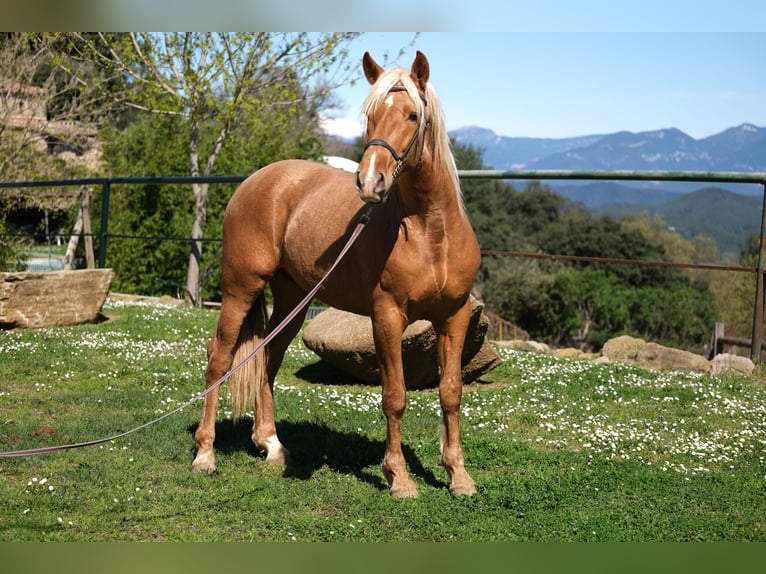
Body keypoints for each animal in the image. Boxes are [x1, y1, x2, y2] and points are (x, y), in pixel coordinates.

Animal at [192, 51, 481, 498]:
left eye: (413, 115)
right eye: (370, 116)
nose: (370, 181)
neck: (431, 233)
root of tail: (256, 180)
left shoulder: (455, 315)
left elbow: (451, 392)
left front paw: (458, 476)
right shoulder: (387, 317)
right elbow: (395, 396)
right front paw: (398, 478)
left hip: (293, 298)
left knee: (269, 357)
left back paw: (271, 445)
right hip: (241, 287)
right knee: (219, 357)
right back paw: (205, 454)